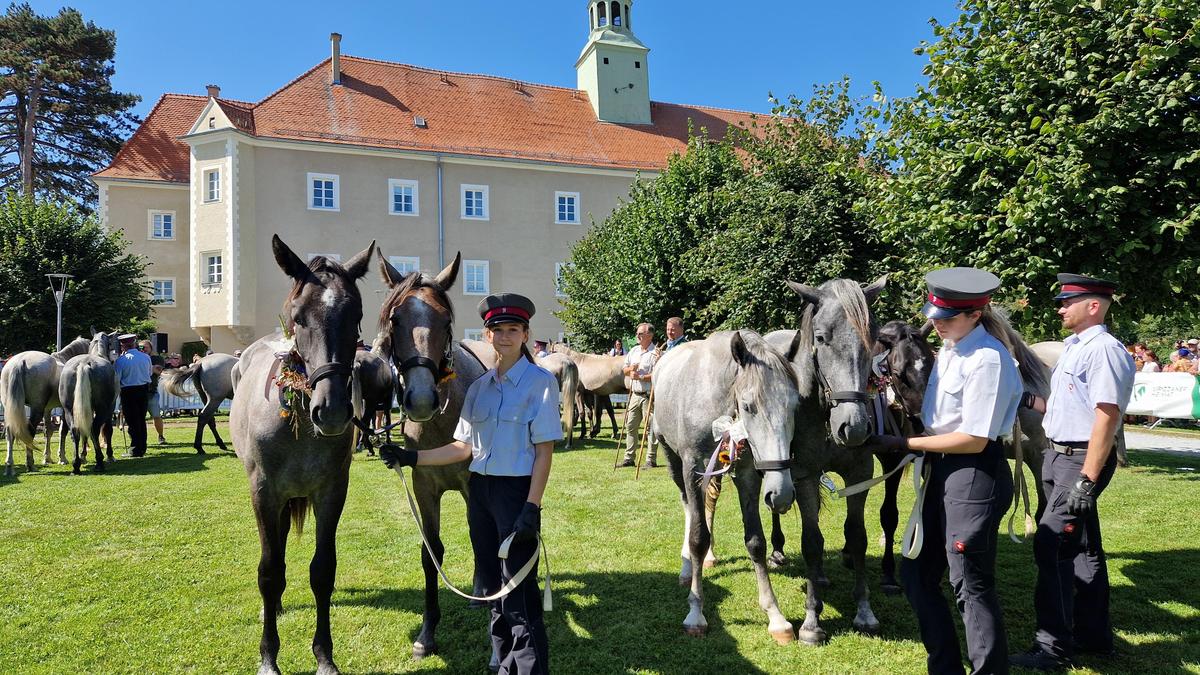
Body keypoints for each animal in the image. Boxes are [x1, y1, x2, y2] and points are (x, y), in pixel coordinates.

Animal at [58, 331, 118, 473]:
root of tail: (84, 364)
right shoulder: (110, 409)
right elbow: (108, 430)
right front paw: (110, 456)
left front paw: (83, 455)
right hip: (102, 409)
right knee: (94, 429)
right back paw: (99, 462)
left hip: (69, 410)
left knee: (75, 430)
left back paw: (76, 465)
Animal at [226, 235, 372, 672]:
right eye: (298, 315)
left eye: (356, 314)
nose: (333, 409)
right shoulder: (264, 492)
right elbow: (270, 571)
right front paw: (268, 656)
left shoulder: (331, 492)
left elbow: (322, 571)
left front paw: (324, 654)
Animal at [652, 329, 801, 638]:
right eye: (748, 406)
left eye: (795, 405)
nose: (781, 494)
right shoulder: (693, 469)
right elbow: (698, 537)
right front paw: (695, 613)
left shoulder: (746, 474)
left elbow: (756, 542)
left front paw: (776, 617)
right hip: (672, 458)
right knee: (688, 507)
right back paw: (687, 568)